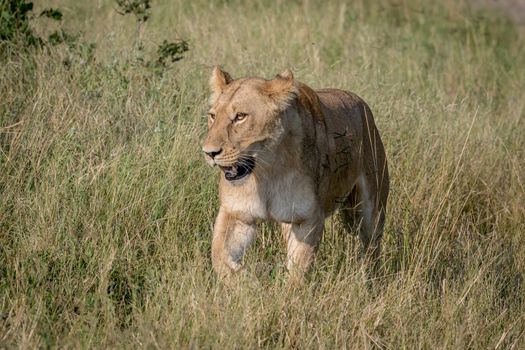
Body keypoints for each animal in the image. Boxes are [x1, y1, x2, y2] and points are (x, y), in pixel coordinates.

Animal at [203, 66, 386, 276]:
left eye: (240, 117)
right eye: (213, 116)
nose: (209, 152)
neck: (266, 172)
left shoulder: (307, 218)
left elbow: (298, 268)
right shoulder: (236, 214)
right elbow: (220, 257)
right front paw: (245, 279)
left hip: (372, 207)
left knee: (372, 245)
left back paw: (371, 277)